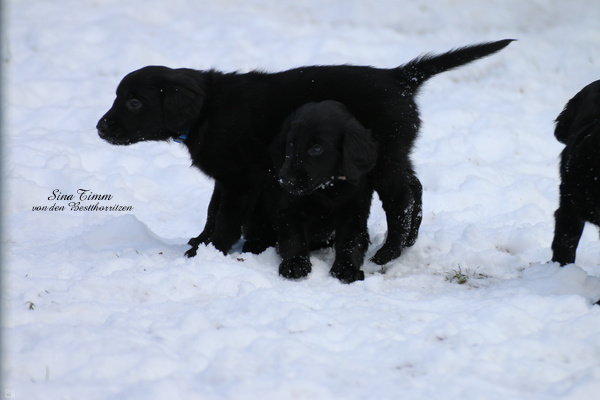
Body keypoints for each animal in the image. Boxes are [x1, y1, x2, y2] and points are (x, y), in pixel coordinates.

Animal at [97, 39, 513, 265]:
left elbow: (226, 217)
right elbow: (212, 210)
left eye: (134, 102)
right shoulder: (228, 178)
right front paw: (200, 240)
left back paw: (390, 252)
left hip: (379, 158)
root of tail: (400, 76)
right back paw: (409, 242)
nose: (100, 128)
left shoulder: (239, 180)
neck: (207, 109)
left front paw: (211, 251)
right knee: (416, 186)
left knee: (401, 197)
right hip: (396, 153)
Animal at [263, 100, 378, 283]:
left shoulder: (354, 213)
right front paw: (295, 263)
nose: (285, 181)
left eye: (317, 149)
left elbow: (351, 242)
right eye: (291, 144)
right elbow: (294, 238)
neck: (328, 188)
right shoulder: (291, 210)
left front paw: (347, 268)